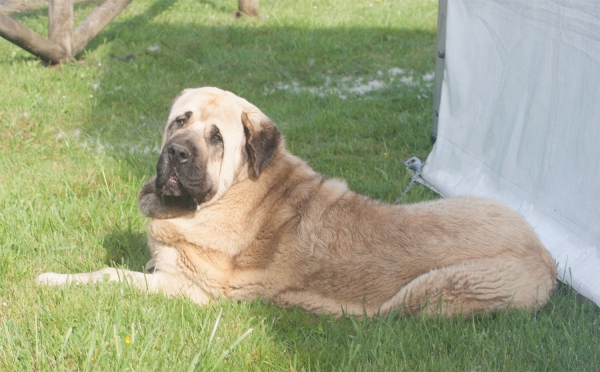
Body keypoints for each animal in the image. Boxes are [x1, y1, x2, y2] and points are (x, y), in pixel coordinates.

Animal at [35, 86, 556, 316]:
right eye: (178, 121)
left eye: (216, 137)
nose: (177, 153)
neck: (239, 191)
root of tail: (546, 259)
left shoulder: (191, 291)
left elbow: (109, 276)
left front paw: (53, 279)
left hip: (430, 291)